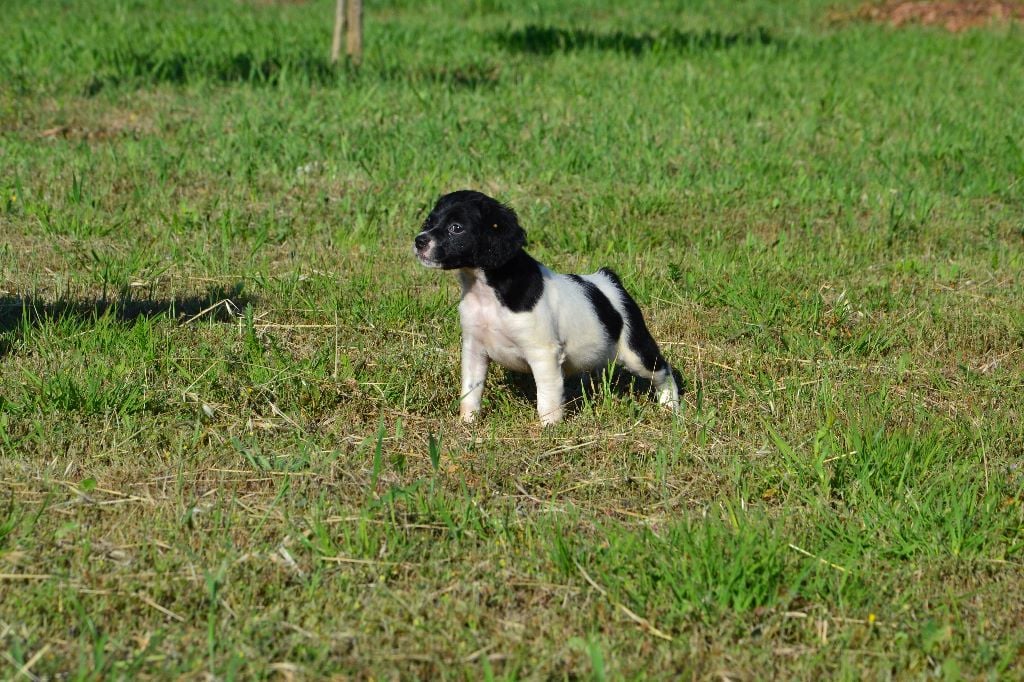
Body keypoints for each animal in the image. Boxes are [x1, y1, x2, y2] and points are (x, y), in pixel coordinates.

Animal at [411, 191, 675, 421]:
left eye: (456, 228)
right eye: (429, 221)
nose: (419, 240)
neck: (488, 292)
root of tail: (609, 280)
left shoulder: (543, 354)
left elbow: (547, 398)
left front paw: (550, 428)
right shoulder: (474, 349)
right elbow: (470, 391)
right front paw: (467, 423)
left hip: (636, 352)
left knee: (664, 371)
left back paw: (670, 406)